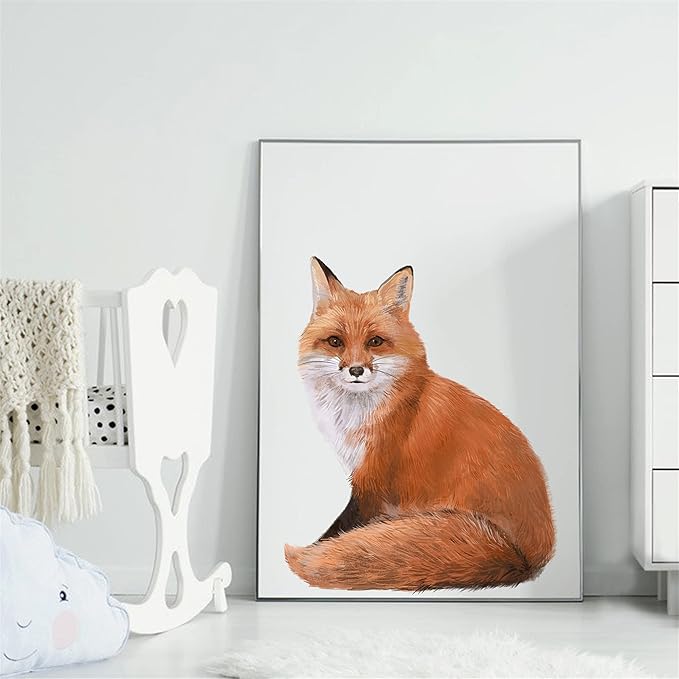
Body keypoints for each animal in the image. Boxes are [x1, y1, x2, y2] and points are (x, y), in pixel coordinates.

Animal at [285, 257, 555, 591]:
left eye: (375, 341)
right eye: (335, 341)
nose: (356, 370)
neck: (357, 414)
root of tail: (529, 557)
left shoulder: (373, 478)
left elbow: (342, 527)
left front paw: (317, 549)